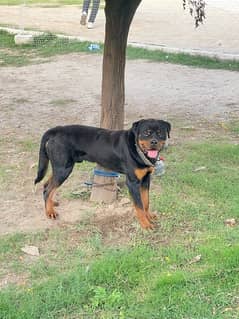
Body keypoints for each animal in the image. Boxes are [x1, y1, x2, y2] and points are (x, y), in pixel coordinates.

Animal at [34, 119, 171, 230]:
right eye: (146, 133)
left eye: (160, 133)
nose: (154, 142)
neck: (137, 148)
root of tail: (57, 130)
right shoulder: (132, 182)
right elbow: (139, 206)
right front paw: (145, 224)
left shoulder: (145, 179)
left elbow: (146, 201)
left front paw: (149, 216)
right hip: (63, 169)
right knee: (48, 189)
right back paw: (50, 212)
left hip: (59, 168)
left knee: (46, 185)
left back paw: (51, 204)